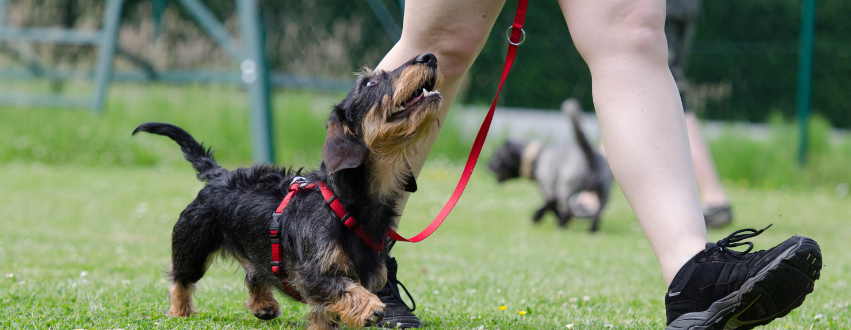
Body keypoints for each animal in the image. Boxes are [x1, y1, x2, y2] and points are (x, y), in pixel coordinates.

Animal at [133, 52, 446, 328]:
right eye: (369, 83)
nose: (429, 57)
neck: (345, 202)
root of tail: (220, 174)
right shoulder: (312, 274)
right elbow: (345, 289)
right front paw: (371, 307)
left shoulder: (369, 275)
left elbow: (328, 312)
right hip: (193, 246)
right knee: (180, 278)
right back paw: (180, 311)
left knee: (254, 273)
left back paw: (263, 305)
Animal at [490, 98, 616, 232]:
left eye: (497, 156)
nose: (488, 166)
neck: (537, 156)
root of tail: (590, 154)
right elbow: (552, 207)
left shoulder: (549, 189)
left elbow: (550, 205)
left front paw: (537, 217)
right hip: (603, 193)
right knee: (598, 212)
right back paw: (591, 230)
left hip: (565, 188)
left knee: (566, 208)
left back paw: (560, 225)